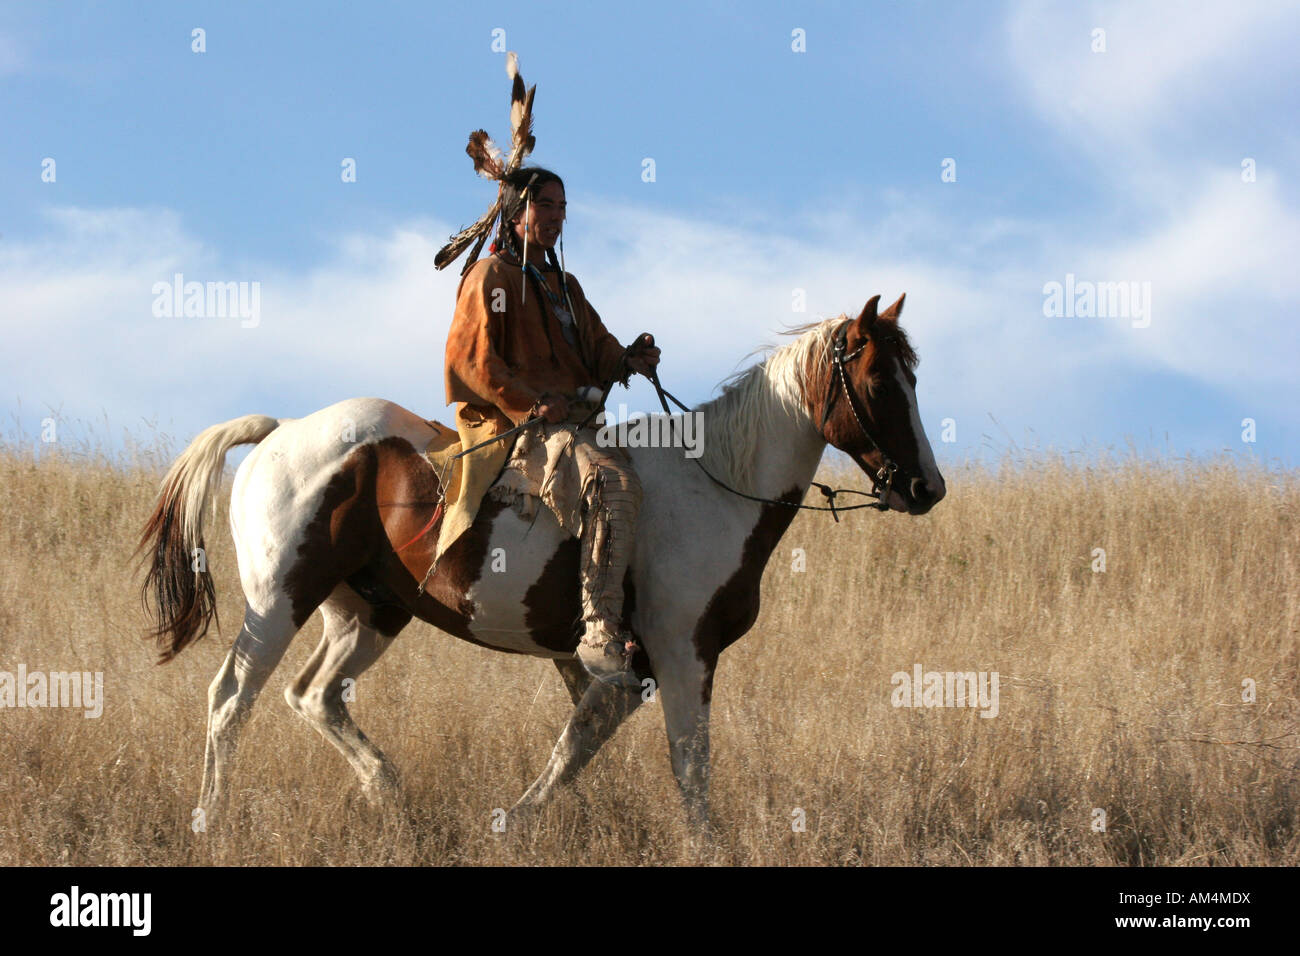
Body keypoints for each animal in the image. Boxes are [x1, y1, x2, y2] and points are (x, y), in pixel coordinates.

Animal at [137, 293, 941, 832]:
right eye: (878, 382)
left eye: (915, 379)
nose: (924, 489)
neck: (717, 483)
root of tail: (280, 432)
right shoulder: (683, 652)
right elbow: (687, 764)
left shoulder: (635, 666)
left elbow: (583, 736)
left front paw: (519, 819)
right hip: (280, 600)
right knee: (231, 698)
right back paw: (209, 821)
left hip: (369, 611)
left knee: (315, 696)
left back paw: (387, 788)